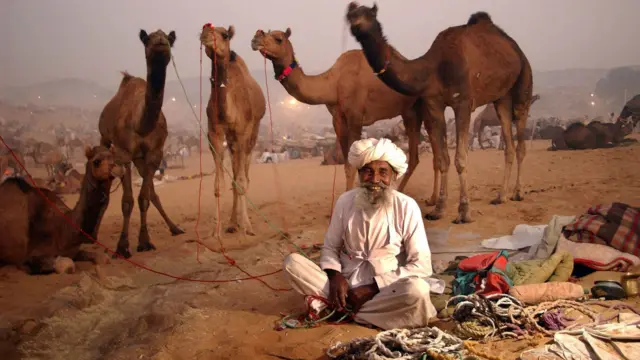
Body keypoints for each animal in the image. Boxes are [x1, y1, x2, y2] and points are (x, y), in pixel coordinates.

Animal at [0, 145, 122, 274]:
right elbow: (68, 265)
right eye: (96, 161)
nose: (117, 168)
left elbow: (104, 258)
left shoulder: (73, 250)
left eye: (114, 158)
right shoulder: (27, 258)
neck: (64, 229)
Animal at [97, 28, 184, 258]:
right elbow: (127, 201)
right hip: (106, 140)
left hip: (140, 159)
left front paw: (144, 241)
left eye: (169, 38)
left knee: (151, 191)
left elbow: (145, 197)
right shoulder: (123, 152)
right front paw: (122, 246)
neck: (142, 124)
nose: (161, 41)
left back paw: (175, 227)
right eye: (147, 38)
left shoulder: (154, 154)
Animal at [202, 23, 268, 235]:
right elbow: (219, 185)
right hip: (231, 142)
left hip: (251, 135)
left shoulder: (242, 132)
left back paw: (241, 222)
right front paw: (217, 229)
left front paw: (246, 225)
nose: (206, 33)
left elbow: (240, 182)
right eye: (203, 29)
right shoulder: (214, 132)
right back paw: (232, 223)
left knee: (244, 176)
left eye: (224, 35)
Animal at [251, 28, 444, 204]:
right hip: (409, 111)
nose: (255, 38)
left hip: (426, 105)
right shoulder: (337, 119)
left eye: (278, 38)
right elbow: (346, 165)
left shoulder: (355, 118)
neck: (334, 83)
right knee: (417, 157)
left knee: (433, 153)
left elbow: (354, 165)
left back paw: (431, 199)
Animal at [344, 2, 536, 222]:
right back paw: (501, 196)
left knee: (520, 137)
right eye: (350, 16)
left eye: (370, 16)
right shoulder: (434, 104)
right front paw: (439, 209)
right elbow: (443, 159)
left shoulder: (463, 102)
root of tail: (515, 48)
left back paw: (518, 193)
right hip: (501, 98)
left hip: (524, 83)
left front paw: (464, 211)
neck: (433, 68)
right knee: (508, 143)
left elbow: (460, 158)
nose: (357, 25)